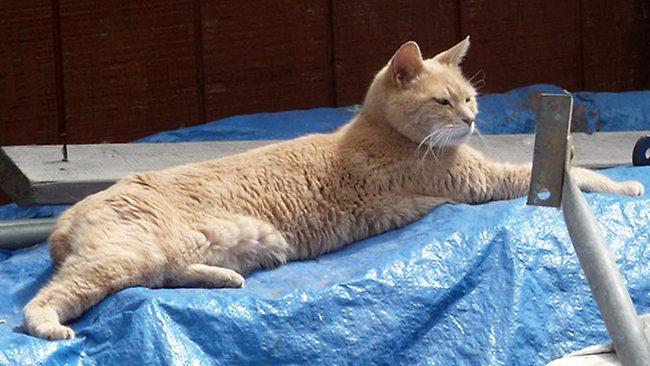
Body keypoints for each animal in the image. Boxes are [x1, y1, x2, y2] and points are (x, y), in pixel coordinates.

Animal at [22, 38, 640, 340]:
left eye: (470, 97)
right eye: (445, 102)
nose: (470, 120)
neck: (383, 131)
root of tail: (63, 220)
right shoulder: (483, 181)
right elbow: (578, 175)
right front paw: (626, 185)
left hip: (194, 250)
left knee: (164, 277)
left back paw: (224, 278)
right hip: (124, 256)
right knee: (46, 299)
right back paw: (48, 327)